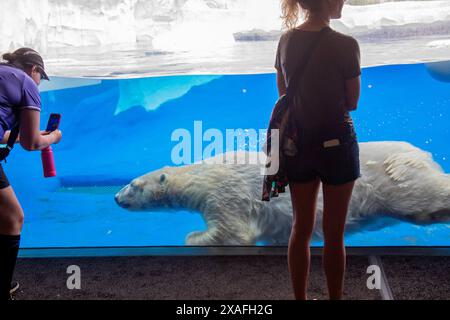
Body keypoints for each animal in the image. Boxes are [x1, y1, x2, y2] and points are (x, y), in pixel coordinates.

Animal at [114, 141, 448, 246]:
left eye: (133, 184)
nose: (116, 198)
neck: (203, 173)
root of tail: (423, 153)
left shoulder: (225, 191)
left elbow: (232, 232)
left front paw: (192, 237)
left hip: (396, 179)